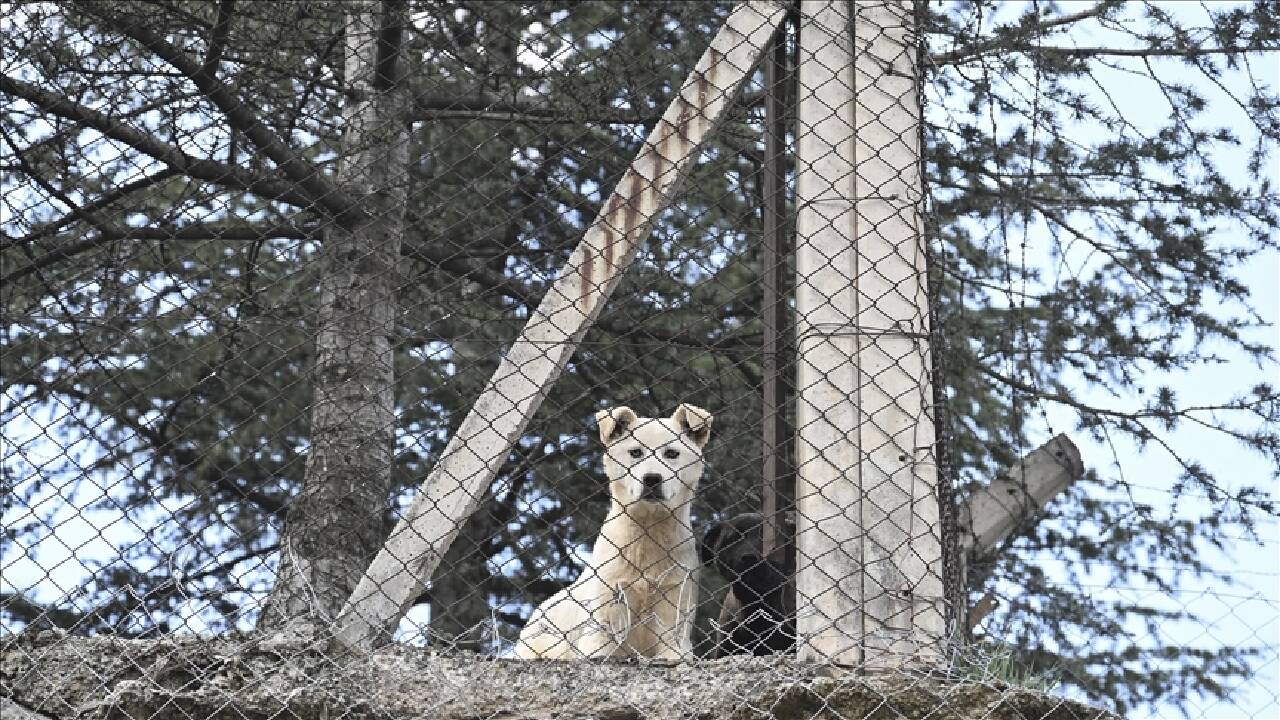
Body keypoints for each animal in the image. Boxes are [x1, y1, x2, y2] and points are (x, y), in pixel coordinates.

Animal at [512, 399, 711, 661]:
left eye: (672, 453)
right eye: (635, 452)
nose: (652, 479)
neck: (647, 531)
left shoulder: (674, 612)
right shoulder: (604, 618)